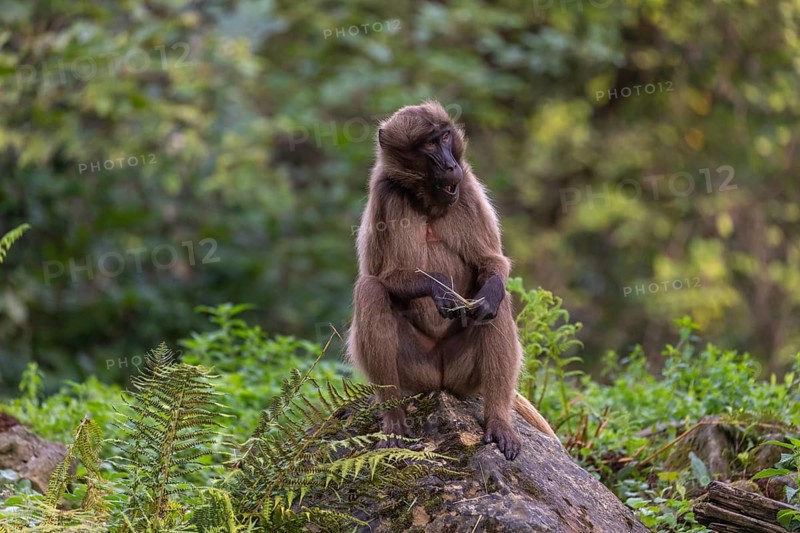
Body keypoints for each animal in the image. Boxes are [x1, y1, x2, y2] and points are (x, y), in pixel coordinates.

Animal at [346, 101, 557, 460]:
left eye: (445, 137)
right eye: (429, 144)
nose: (449, 165)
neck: (427, 200)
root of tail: (441, 382)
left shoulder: (467, 186)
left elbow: (491, 264)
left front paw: (484, 291)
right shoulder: (385, 193)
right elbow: (379, 275)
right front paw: (439, 287)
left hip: (464, 374)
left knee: (496, 303)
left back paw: (498, 420)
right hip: (416, 373)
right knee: (370, 290)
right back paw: (393, 417)